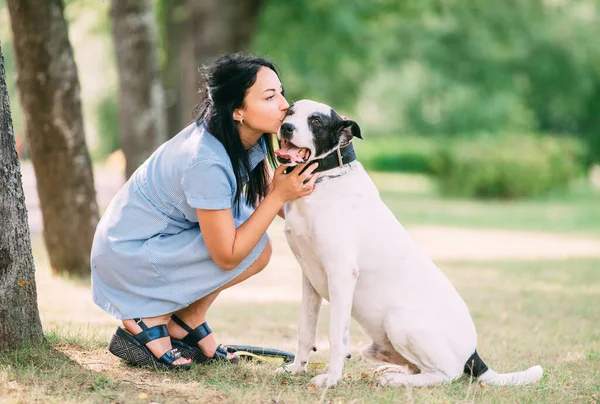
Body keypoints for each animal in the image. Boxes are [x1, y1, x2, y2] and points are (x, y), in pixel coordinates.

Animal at [274, 99, 544, 386]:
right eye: (290, 112)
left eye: (316, 121)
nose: (286, 127)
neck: (326, 179)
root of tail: (473, 354)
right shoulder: (309, 279)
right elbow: (305, 330)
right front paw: (296, 369)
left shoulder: (341, 273)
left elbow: (337, 336)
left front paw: (331, 379)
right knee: (418, 367)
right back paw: (393, 372)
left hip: (399, 321)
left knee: (445, 375)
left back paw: (397, 380)